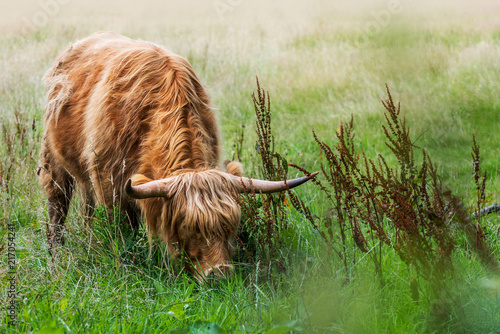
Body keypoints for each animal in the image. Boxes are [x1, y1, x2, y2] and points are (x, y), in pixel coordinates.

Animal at [38, 32, 316, 280]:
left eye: (229, 227)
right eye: (188, 227)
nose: (219, 274)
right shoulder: (109, 180)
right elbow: (122, 227)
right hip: (53, 161)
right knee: (58, 205)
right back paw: (55, 251)